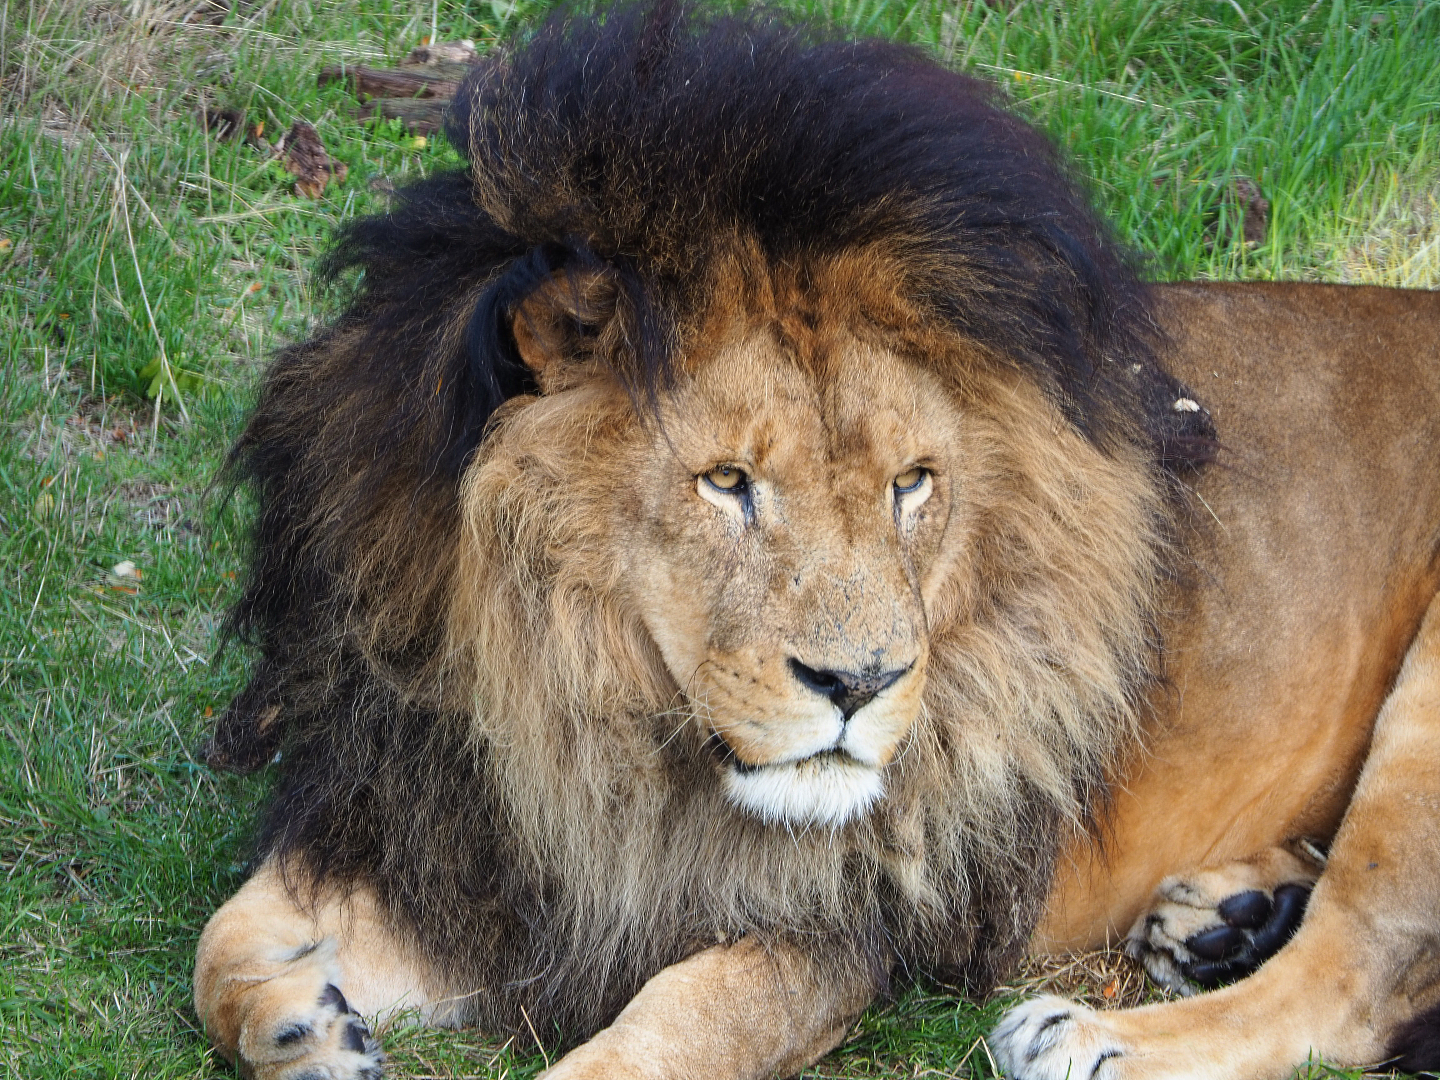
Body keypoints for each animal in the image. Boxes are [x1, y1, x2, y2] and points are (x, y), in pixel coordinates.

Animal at [193, 6, 1440, 1080]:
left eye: (911, 485)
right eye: (728, 483)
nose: (861, 682)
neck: (575, 691)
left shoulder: (845, 927)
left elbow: (671, 1030)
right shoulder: (457, 838)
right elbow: (226, 936)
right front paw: (307, 1028)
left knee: (1358, 978)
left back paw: (1096, 1037)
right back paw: (1235, 915)